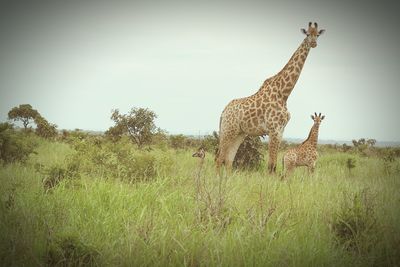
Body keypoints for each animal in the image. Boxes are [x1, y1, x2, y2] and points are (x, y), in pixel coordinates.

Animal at [216, 22, 324, 175]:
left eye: (318, 34)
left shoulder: (280, 131)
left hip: (239, 133)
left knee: (229, 159)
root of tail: (224, 111)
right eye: (308, 34)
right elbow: (271, 165)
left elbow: (274, 164)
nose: (314, 43)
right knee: (219, 158)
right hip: (228, 130)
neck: (284, 93)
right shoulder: (273, 130)